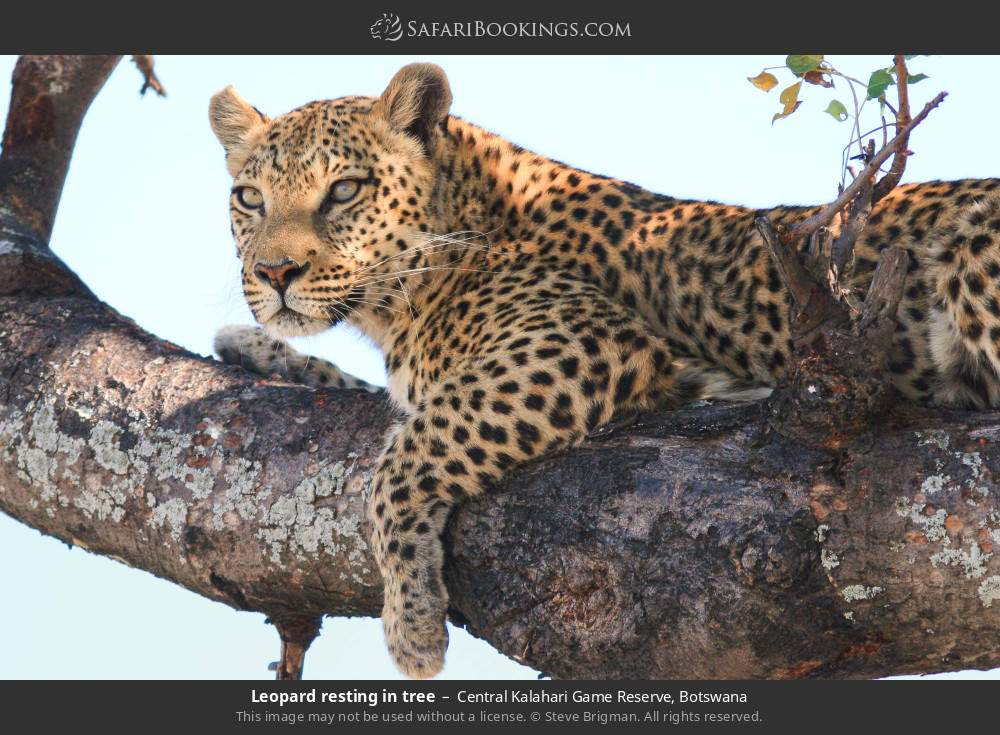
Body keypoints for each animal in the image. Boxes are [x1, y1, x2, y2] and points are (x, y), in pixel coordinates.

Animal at [209, 62, 1000, 678]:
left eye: (343, 191)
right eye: (249, 198)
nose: (274, 272)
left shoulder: (583, 342)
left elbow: (404, 457)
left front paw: (413, 625)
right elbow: (383, 399)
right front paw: (250, 343)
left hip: (970, 243)